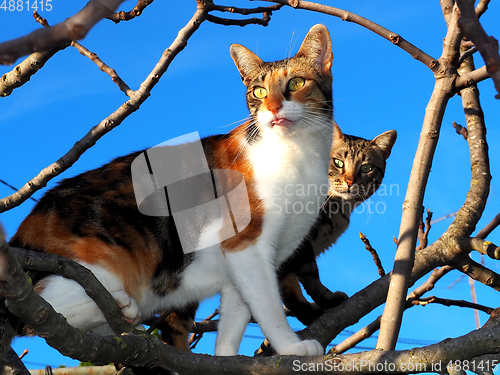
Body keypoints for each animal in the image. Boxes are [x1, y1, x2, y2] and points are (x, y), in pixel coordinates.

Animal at [3, 24, 334, 358]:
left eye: (296, 82)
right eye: (259, 92)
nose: (273, 108)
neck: (297, 154)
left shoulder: (242, 264)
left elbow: (236, 316)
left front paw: (226, 357)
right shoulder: (246, 244)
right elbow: (268, 307)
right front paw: (291, 346)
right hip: (102, 263)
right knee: (42, 310)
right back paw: (124, 306)